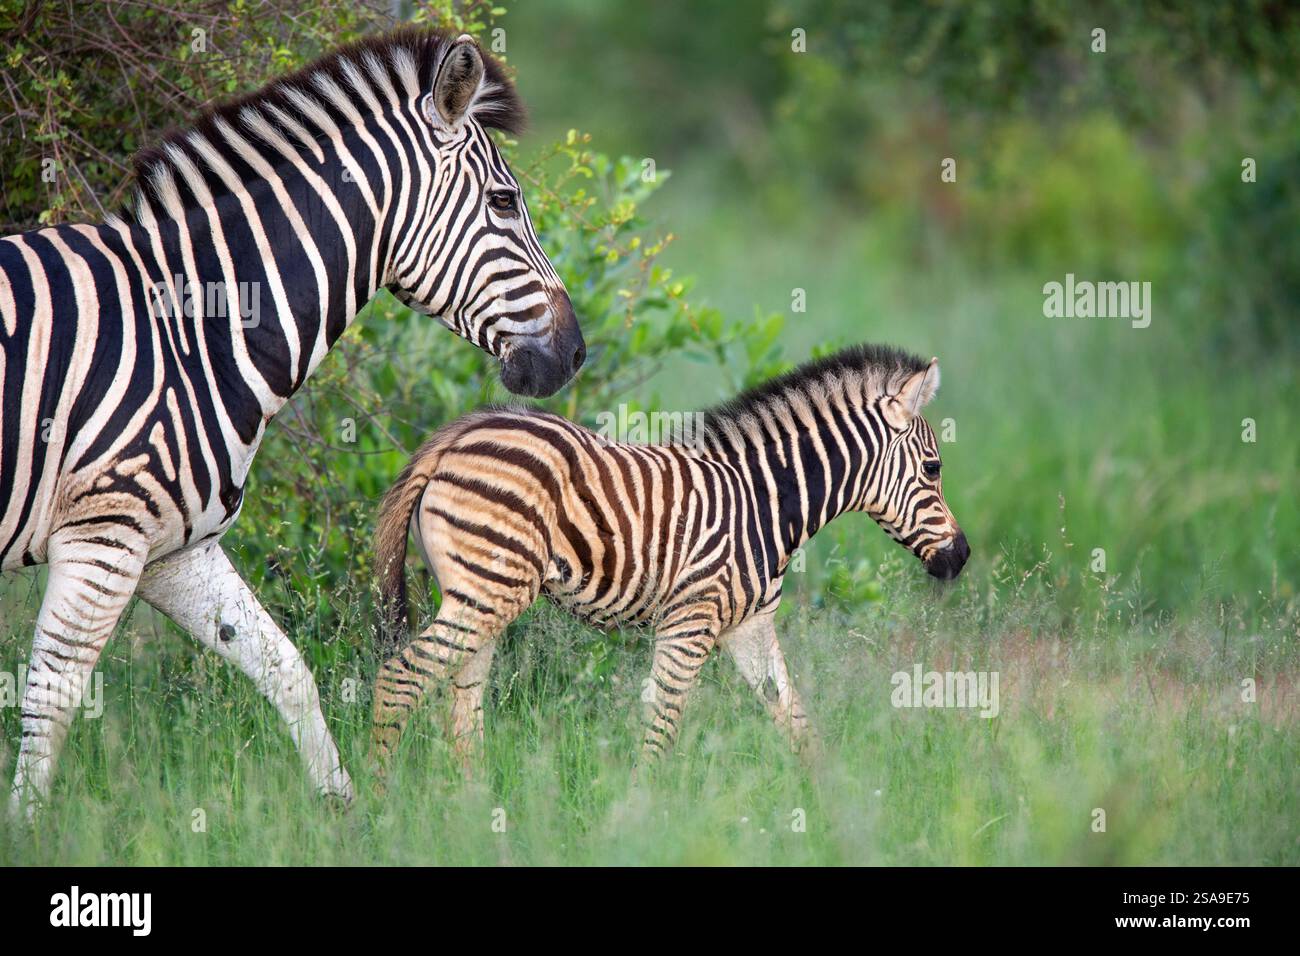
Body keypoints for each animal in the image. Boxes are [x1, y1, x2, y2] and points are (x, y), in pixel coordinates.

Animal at [1, 28, 585, 817]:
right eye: (503, 201)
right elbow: (53, 698)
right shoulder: (103, 531)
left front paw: (348, 812)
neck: (187, 328)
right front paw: (29, 826)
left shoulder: (172, 548)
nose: (574, 353)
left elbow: (285, 668)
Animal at [370, 344, 969, 770]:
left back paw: (472, 811)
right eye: (934, 468)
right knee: (401, 676)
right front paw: (638, 818)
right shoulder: (690, 619)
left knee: (462, 706)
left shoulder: (750, 626)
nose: (962, 557)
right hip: (489, 588)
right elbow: (662, 726)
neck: (763, 501)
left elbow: (795, 719)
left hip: (482, 594)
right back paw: (378, 806)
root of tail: (454, 436)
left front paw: (836, 808)